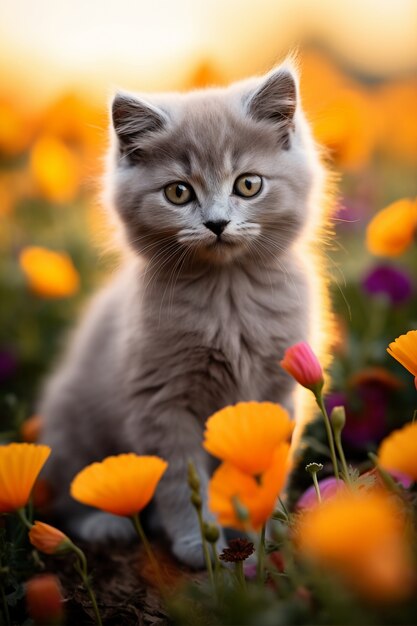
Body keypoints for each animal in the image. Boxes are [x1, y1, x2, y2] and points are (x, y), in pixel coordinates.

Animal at [38, 62, 328, 564]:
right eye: (178, 192)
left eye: (248, 184)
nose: (217, 223)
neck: (227, 294)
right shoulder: (159, 401)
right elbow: (179, 480)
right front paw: (201, 544)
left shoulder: (274, 392)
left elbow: (260, 470)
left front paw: (263, 531)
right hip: (69, 422)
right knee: (72, 489)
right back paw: (105, 524)